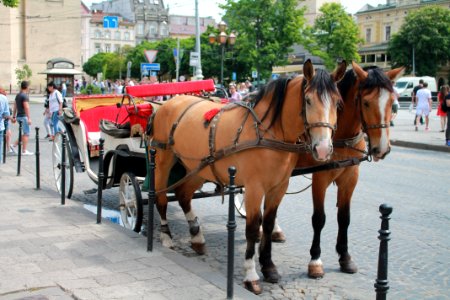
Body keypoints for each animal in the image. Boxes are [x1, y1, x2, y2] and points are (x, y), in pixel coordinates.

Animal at [150, 59, 344, 294]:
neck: (268, 131)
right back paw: (166, 236)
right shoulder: (254, 188)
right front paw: (251, 275)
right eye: (308, 100)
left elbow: (267, 225)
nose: (323, 149)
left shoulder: (279, 186)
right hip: (163, 160)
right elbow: (252, 229)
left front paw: (268, 267)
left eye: (338, 103)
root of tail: (170, 102)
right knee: (160, 197)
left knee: (183, 194)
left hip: (197, 166)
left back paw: (197, 237)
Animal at [292, 61, 404, 278]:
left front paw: (345, 256)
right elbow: (319, 218)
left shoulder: (350, 177)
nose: (382, 148)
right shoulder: (320, 179)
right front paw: (315, 260)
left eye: (391, 103)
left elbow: (344, 218)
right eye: (366, 103)